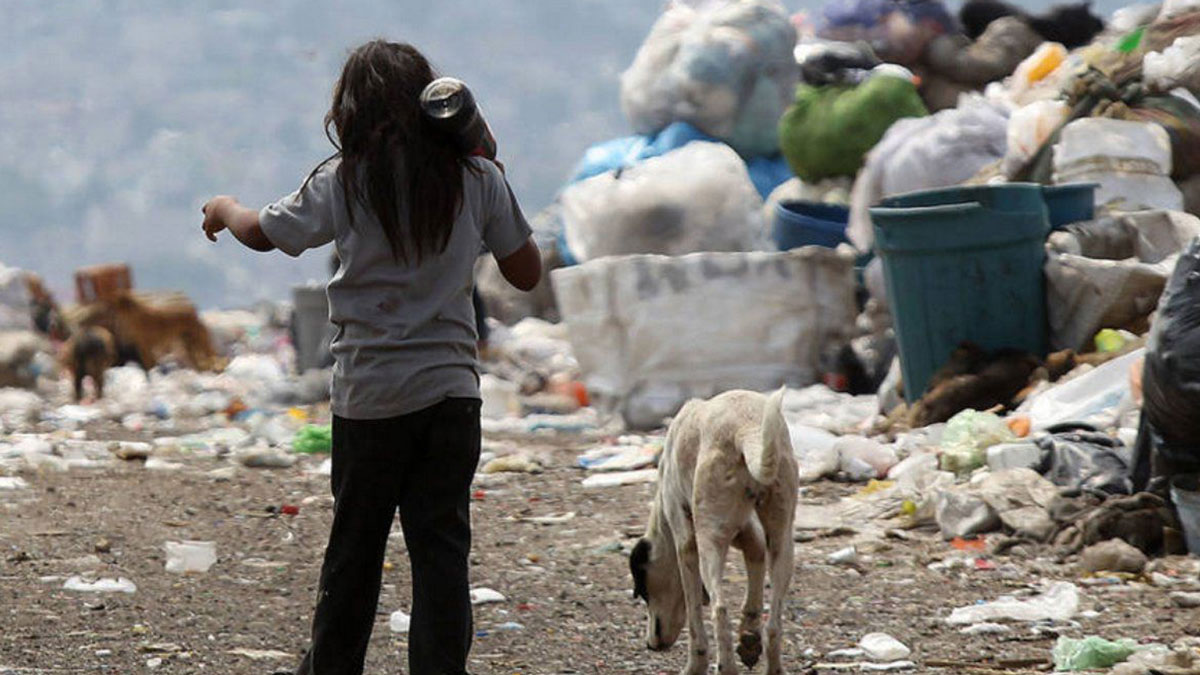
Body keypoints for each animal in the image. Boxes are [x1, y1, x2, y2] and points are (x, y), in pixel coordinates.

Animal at [628, 386, 796, 667]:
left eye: (642, 591)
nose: (649, 645)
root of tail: (746, 427)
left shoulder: (686, 545)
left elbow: (695, 621)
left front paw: (695, 666)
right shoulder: (747, 532)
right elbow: (755, 554)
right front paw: (749, 637)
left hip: (710, 543)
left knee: (720, 610)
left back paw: (726, 666)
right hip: (782, 540)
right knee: (773, 625)